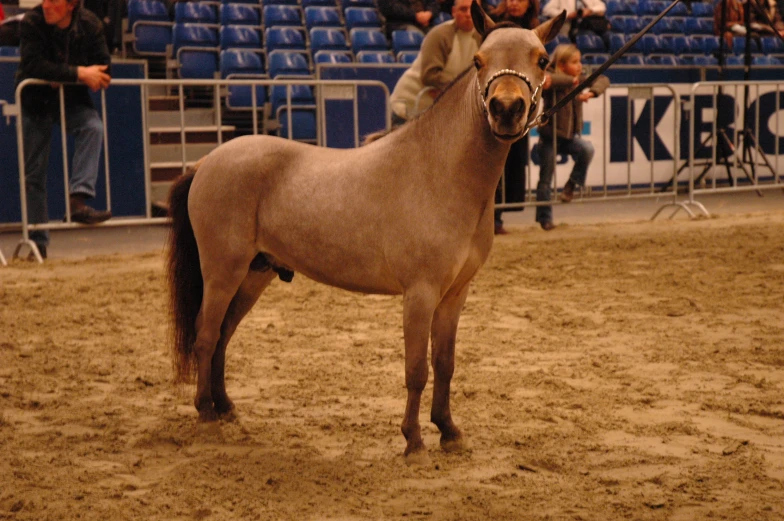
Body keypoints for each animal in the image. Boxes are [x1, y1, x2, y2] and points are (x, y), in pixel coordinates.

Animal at [168, 3, 568, 460]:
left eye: (543, 60)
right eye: (479, 61)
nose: (506, 109)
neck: (440, 172)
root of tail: (206, 162)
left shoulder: (454, 295)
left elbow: (445, 364)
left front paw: (448, 431)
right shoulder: (420, 294)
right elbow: (417, 369)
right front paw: (414, 440)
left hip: (254, 275)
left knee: (223, 336)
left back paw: (226, 407)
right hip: (223, 272)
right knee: (205, 335)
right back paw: (206, 414)